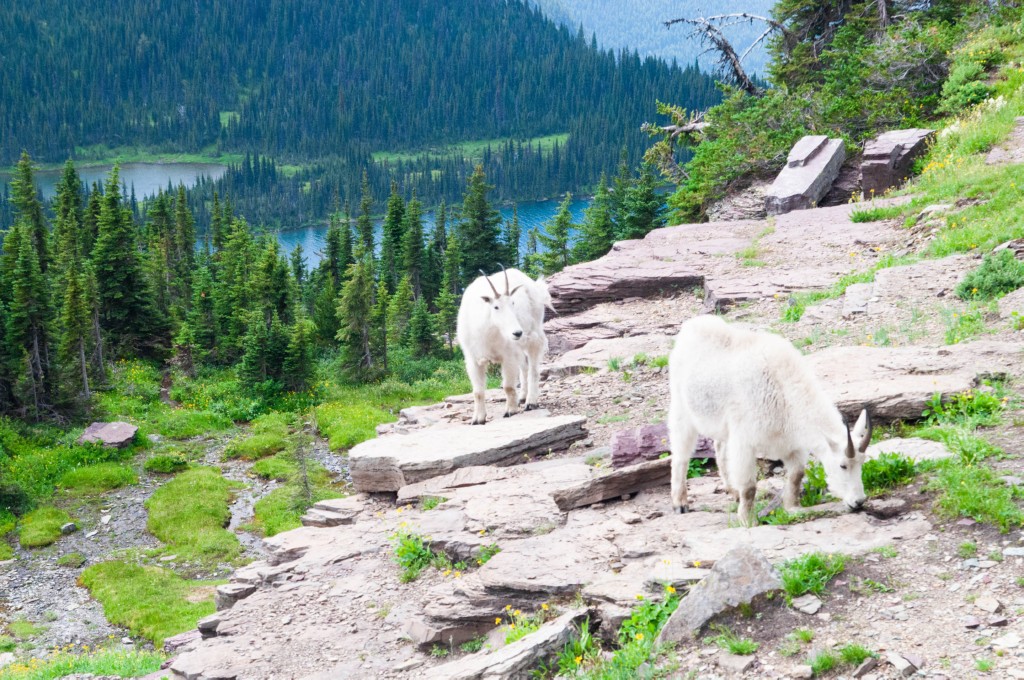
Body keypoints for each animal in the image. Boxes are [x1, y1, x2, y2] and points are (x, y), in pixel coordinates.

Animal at [456, 266, 551, 425]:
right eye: (496, 307)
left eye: (513, 303)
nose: (517, 332)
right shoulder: (473, 360)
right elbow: (478, 392)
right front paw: (477, 419)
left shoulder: (508, 355)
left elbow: (508, 386)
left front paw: (510, 411)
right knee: (524, 367)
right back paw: (522, 397)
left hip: (534, 334)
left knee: (533, 369)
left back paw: (530, 402)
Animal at [668, 315, 871, 527]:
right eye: (843, 465)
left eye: (862, 462)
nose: (859, 501)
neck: (782, 391)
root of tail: (691, 326)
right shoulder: (745, 441)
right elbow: (749, 486)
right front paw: (747, 521)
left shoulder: (792, 443)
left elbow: (797, 475)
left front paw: (793, 507)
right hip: (681, 406)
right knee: (681, 453)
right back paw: (680, 502)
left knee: (720, 447)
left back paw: (733, 491)